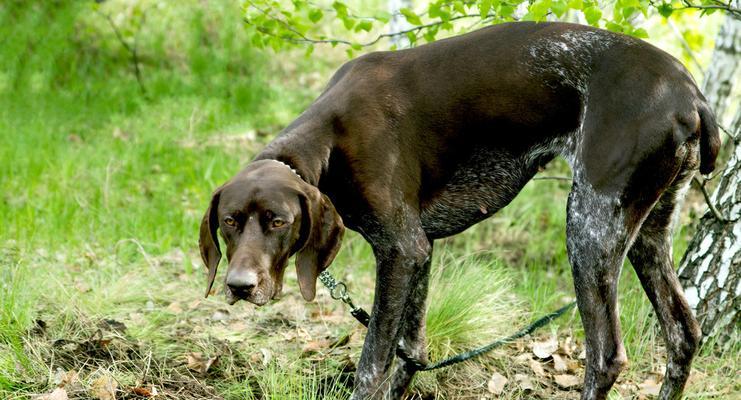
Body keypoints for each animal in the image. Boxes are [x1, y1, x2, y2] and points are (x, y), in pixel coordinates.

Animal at [201, 22, 716, 400]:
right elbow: (411, 351)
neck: (330, 139)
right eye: (230, 223)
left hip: (588, 226)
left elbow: (372, 366)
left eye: (278, 222)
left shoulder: (401, 249)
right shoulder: (420, 252)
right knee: (683, 333)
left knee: (606, 356)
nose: (239, 286)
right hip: (647, 233)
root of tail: (688, 92)